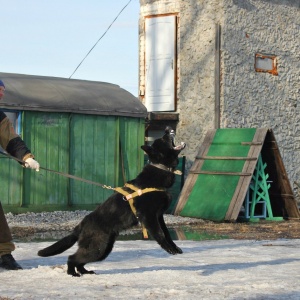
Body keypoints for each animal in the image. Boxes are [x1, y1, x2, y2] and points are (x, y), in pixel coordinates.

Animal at [37, 126, 185, 276]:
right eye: (163, 139)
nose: (167, 128)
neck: (159, 171)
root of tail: (81, 225)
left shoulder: (158, 216)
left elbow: (167, 233)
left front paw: (175, 248)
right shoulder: (149, 216)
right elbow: (160, 234)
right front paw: (169, 249)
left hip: (103, 249)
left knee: (79, 260)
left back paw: (85, 271)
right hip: (98, 248)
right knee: (72, 258)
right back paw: (72, 273)